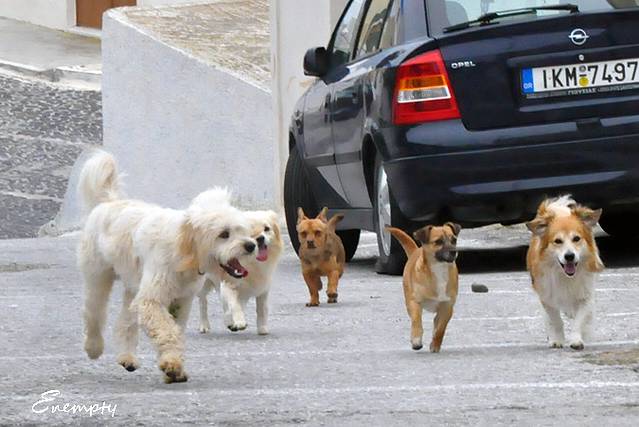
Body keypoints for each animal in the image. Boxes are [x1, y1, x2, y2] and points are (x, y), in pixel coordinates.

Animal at [77, 151, 258, 383]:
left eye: (242, 230)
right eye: (224, 234)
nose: (251, 245)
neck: (184, 251)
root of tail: (108, 202)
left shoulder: (180, 301)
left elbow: (175, 331)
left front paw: (174, 366)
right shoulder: (152, 301)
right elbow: (167, 330)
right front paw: (172, 364)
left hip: (134, 287)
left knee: (125, 321)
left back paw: (127, 358)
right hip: (98, 278)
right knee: (93, 313)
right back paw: (93, 347)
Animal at [195, 192, 283, 335]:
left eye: (266, 229)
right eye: (248, 231)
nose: (260, 238)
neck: (252, 264)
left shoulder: (263, 290)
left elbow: (261, 310)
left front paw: (262, 328)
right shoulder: (229, 285)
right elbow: (235, 306)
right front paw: (240, 321)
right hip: (204, 283)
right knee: (203, 302)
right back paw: (204, 325)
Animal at [387, 223, 461, 352]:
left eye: (454, 240)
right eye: (438, 241)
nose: (454, 251)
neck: (439, 270)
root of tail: (415, 251)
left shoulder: (447, 307)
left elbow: (440, 329)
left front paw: (435, 345)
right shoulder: (415, 302)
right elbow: (416, 321)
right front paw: (416, 340)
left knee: (436, 322)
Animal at [526, 195, 604, 350]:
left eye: (576, 239)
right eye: (557, 241)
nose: (569, 256)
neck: (564, 275)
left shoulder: (585, 295)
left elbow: (580, 319)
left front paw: (576, 340)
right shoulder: (546, 296)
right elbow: (555, 320)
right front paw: (557, 340)